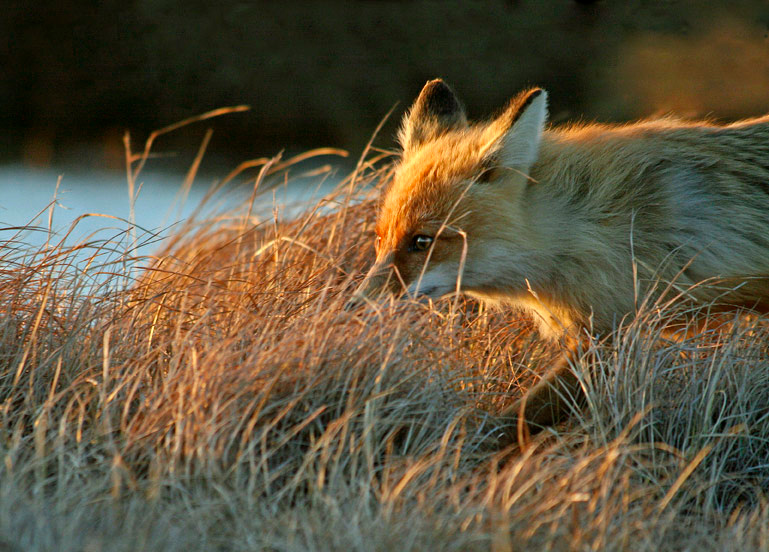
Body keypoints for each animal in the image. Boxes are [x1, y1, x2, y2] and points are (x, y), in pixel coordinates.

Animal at [347, 78, 769, 441]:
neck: (589, 222)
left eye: (421, 241)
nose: (351, 309)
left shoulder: (611, 335)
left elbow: (511, 425)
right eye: (380, 239)